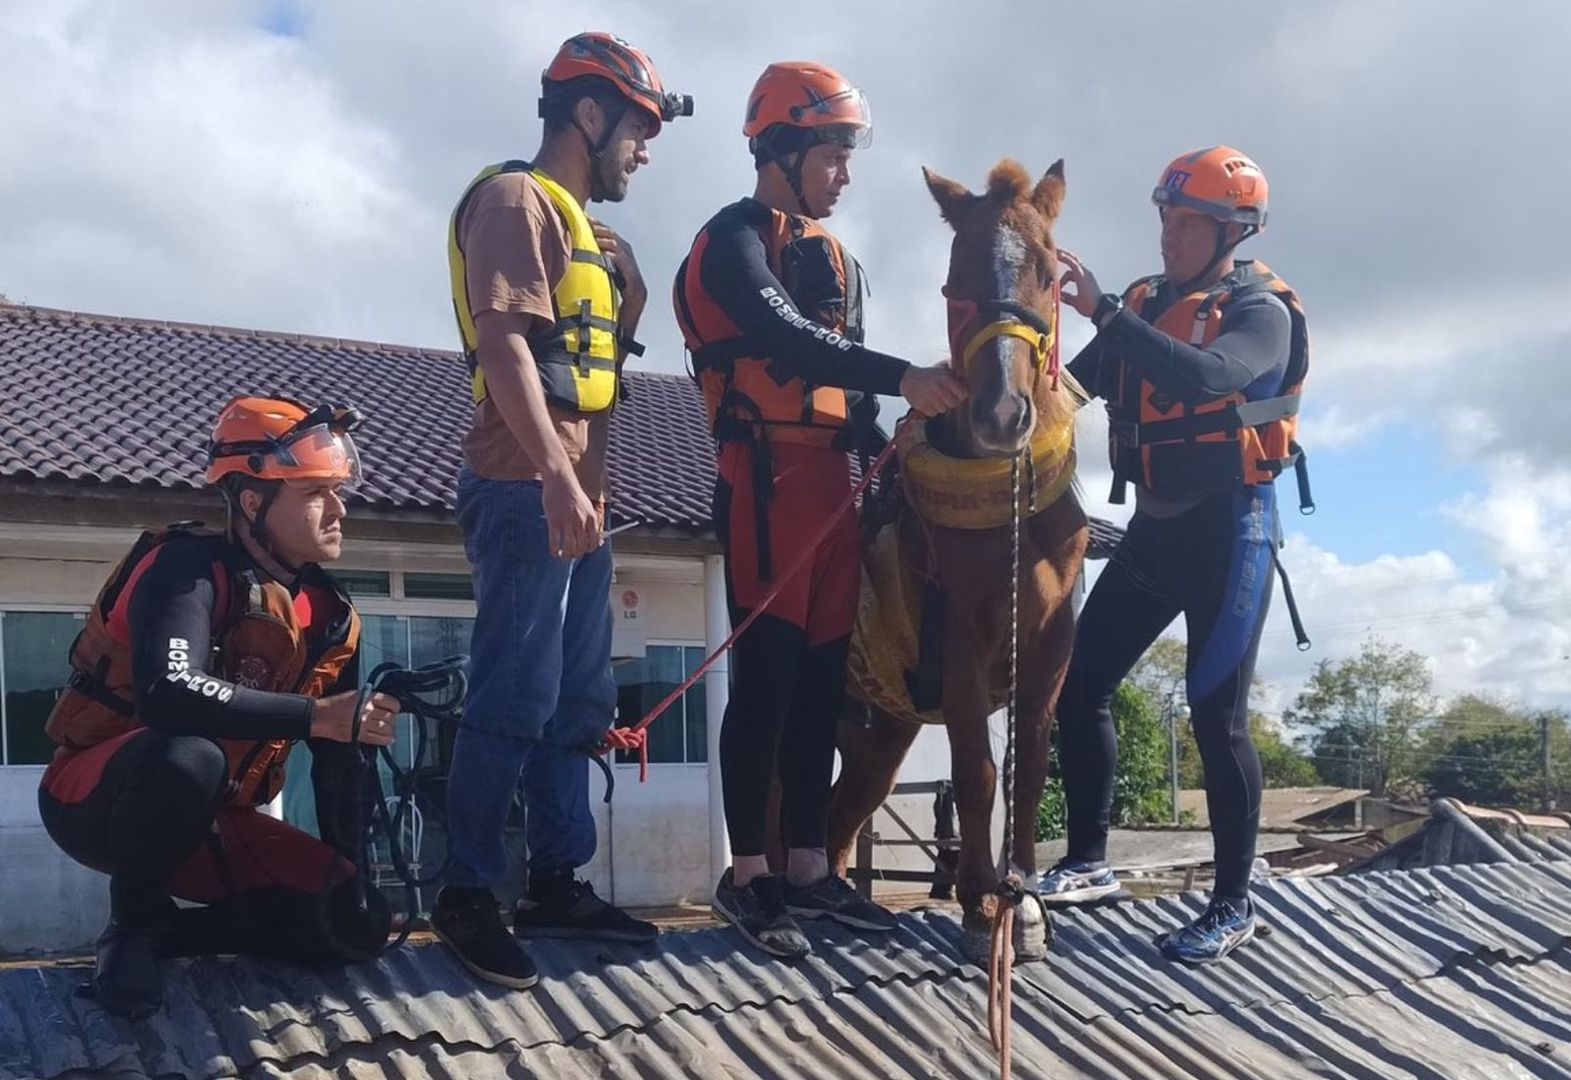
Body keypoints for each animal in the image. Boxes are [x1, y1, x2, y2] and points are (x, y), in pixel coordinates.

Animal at [829, 160, 1087, 962]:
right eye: (954, 279)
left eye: (1048, 272)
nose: (1002, 415)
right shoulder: (961, 644)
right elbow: (976, 768)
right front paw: (980, 904)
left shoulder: (1051, 644)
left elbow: (1028, 766)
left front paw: (1024, 900)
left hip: (881, 732)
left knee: (840, 816)